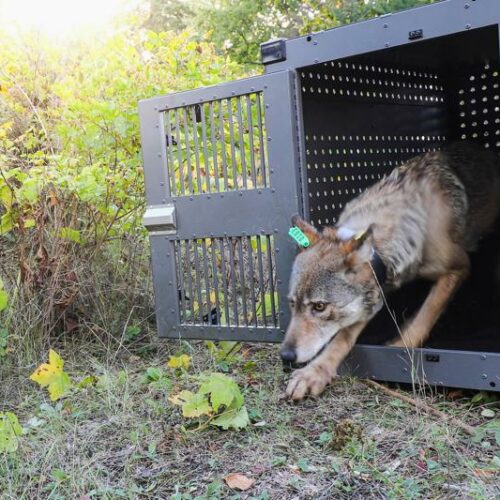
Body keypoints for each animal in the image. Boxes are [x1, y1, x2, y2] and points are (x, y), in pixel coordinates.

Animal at [282, 143, 500, 400]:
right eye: (292, 304)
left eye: (319, 307)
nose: (285, 356)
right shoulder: (375, 292)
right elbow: (342, 337)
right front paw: (314, 372)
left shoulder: (459, 267)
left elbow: (426, 313)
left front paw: (400, 345)